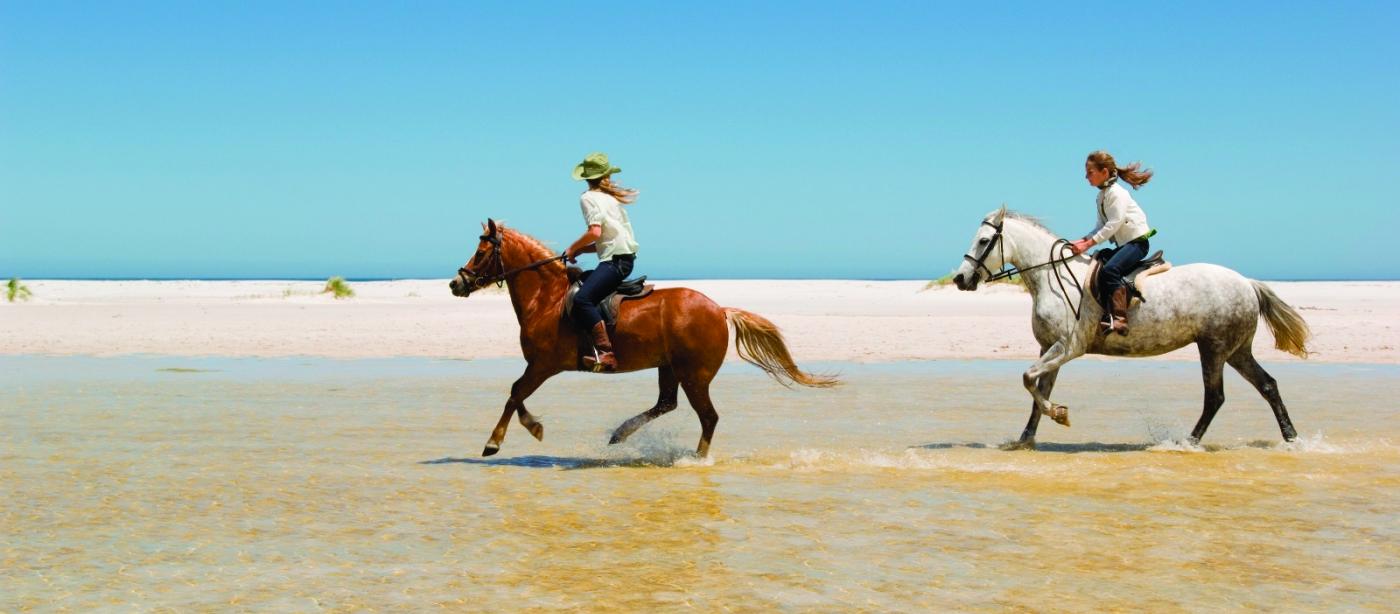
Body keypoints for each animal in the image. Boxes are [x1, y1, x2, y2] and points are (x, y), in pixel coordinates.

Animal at [453, 219, 834, 455]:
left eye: (481, 253)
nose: (456, 283)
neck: (547, 298)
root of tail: (719, 309)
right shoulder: (541, 366)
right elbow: (516, 395)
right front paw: (532, 428)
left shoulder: (543, 364)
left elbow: (515, 394)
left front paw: (497, 442)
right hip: (670, 367)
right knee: (666, 404)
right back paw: (620, 434)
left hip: (694, 375)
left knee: (708, 417)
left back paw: (697, 459)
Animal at [952, 209, 1310, 450]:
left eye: (984, 240)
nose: (960, 279)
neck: (1052, 276)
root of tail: (1247, 283)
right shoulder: (1049, 349)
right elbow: (1037, 393)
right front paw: (1026, 439)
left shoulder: (1067, 348)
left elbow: (1028, 379)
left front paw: (1060, 415)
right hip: (1236, 351)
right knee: (1267, 386)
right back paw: (1291, 438)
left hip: (1213, 348)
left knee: (1215, 397)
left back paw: (1187, 442)